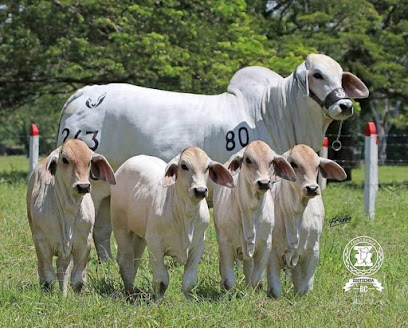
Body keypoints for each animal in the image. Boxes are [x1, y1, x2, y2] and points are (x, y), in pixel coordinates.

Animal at [26, 139, 116, 294]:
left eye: (89, 161)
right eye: (65, 159)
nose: (83, 186)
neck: (69, 210)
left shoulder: (84, 243)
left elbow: (78, 279)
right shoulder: (41, 242)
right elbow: (48, 277)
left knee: (63, 268)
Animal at [56, 53, 370, 260]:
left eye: (341, 76)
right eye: (317, 74)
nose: (345, 105)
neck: (275, 112)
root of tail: (87, 94)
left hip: (111, 188)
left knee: (102, 229)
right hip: (94, 187)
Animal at [111, 147, 233, 298]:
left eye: (207, 168)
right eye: (184, 166)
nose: (200, 190)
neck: (186, 215)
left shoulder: (198, 244)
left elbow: (189, 282)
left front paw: (189, 300)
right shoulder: (155, 244)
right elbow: (161, 281)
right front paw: (157, 300)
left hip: (140, 236)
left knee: (135, 260)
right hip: (120, 227)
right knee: (125, 262)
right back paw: (130, 293)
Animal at [212, 140, 294, 290]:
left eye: (271, 161)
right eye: (248, 160)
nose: (264, 183)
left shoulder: (265, 245)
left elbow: (255, 278)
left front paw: (252, 289)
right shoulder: (225, 244)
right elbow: (229, 279)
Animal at [268, 144, 344, 298]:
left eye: (317, 166)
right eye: (293, 164)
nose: (312, 188)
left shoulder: (312, 251)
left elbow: (305, 286)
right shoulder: (272, 252)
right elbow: (275, 288)